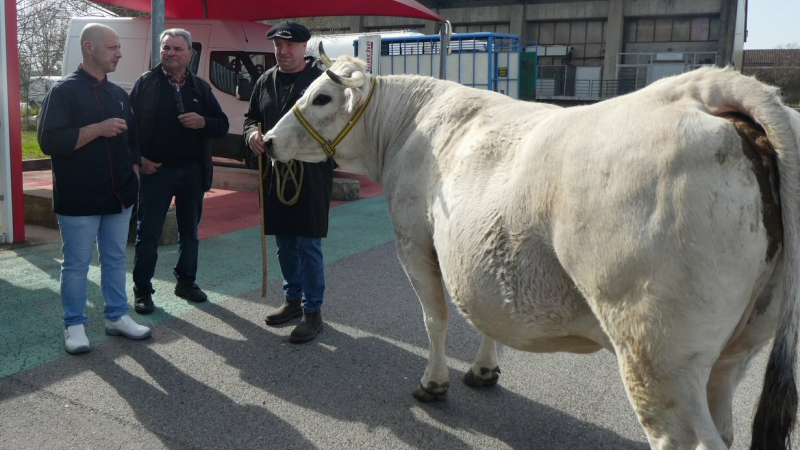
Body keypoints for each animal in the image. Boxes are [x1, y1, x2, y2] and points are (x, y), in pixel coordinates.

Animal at [261, 49, 800, 450]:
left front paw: (434, 383)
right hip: (740, 345)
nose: (265, 140)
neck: (406, 127)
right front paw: (484, 369)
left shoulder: (414, 237)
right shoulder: (475, 249)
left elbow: (436, 318)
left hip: (656, 348)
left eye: (321, 96)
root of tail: (705, 89)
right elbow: (482, 312)